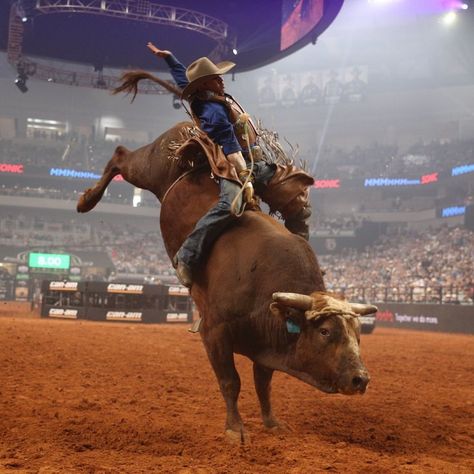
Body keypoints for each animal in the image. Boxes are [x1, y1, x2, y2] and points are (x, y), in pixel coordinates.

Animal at [76, 117, 376, 440]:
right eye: (324, 331)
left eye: (358, 332)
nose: (360, 379)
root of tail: (189, 127)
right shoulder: (214, 332)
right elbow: (231, 381)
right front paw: (235, 429)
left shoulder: (266, 347)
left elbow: (263, 385)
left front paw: (271, 422)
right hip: (151, 166)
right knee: (121, 155)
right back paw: (86, 200)